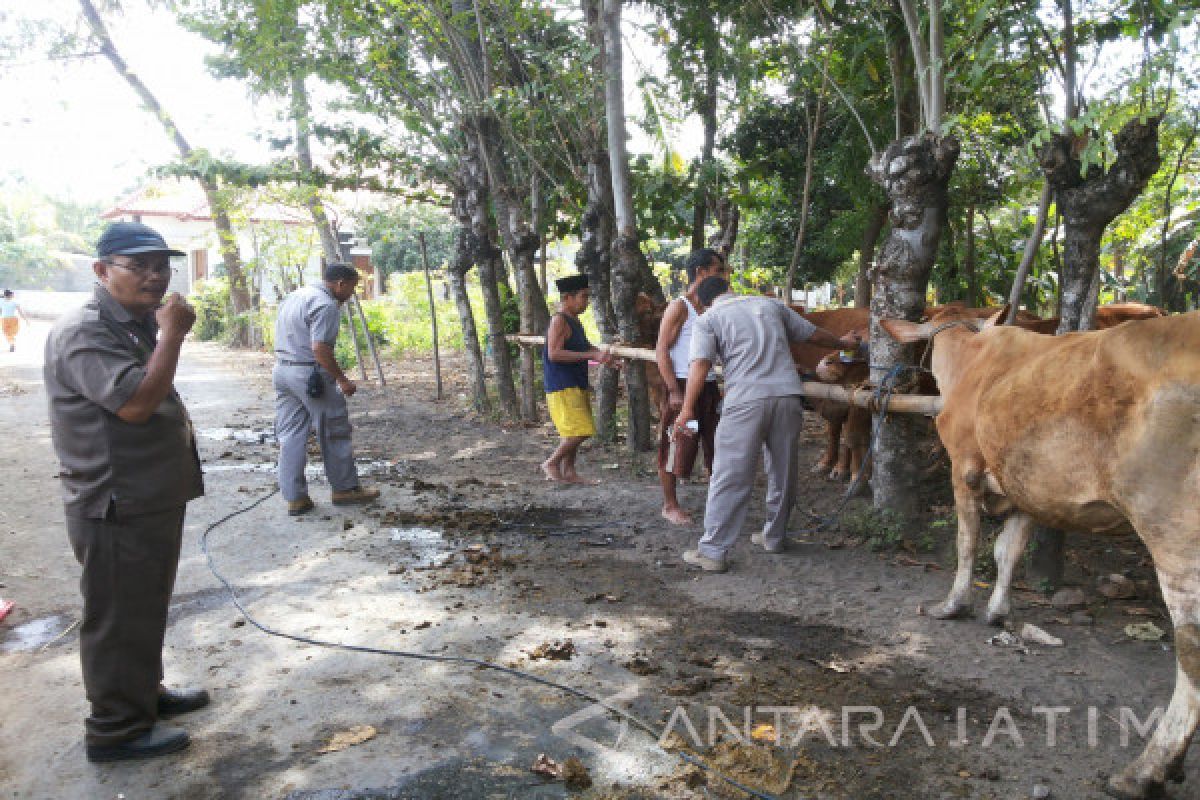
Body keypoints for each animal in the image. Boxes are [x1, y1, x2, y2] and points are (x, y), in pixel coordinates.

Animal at [883, 303, 1200, 796]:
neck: (973, 359)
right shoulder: (1026, 489)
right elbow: (1008, 552)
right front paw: (998, 612)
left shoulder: (963, 470)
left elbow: (967, 544)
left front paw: (952, 605)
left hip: (1173, 531)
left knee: (1190, 651)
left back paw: (1144, 770)